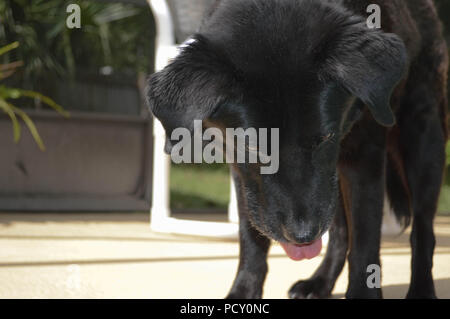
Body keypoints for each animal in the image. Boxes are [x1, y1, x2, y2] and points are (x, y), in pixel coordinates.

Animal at [146, 0, 448, 300]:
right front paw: (243, 293)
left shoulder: (365, 155)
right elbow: (251, 237)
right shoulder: (244, 175)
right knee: (339, 233)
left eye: (325, 137)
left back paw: (421, 290)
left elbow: (365, 241)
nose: (303, 236)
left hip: (423, 143)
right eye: (251, 145)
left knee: (423, 231)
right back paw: (320, 282)